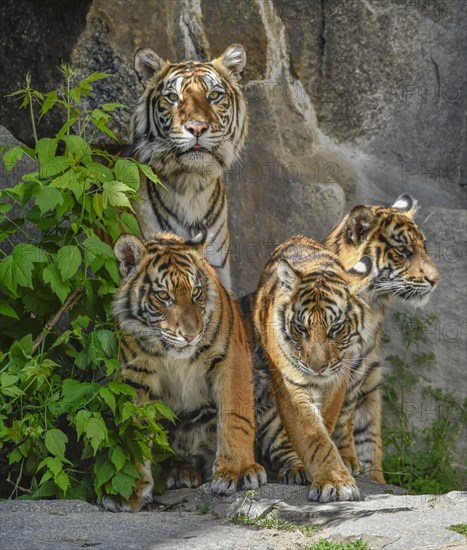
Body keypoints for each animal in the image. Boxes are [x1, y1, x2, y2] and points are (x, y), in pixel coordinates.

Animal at [103, 232, 266, 512]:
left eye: (196, 292)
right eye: (163, 296)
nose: (190, 335)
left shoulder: (231, 359)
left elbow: (235, 417)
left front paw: (238, 471)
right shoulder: (135, 377)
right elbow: (134, 437)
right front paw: (130, 491)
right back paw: (182, 472)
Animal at [249, 237, 372, 504]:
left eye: (335, 329)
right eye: (301, 329)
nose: (317, 368)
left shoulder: (338, 380)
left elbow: (328, 421)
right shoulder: (291, 385)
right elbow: (313, 435)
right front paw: (334, 482)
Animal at [324, 194, 440, 484]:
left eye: (424, 248)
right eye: (403, 251)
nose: (436, 280)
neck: (373, 309)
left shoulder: (369, 384)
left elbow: (370, 439)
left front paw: (376, 480)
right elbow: (342, 422)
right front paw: (348, 463)